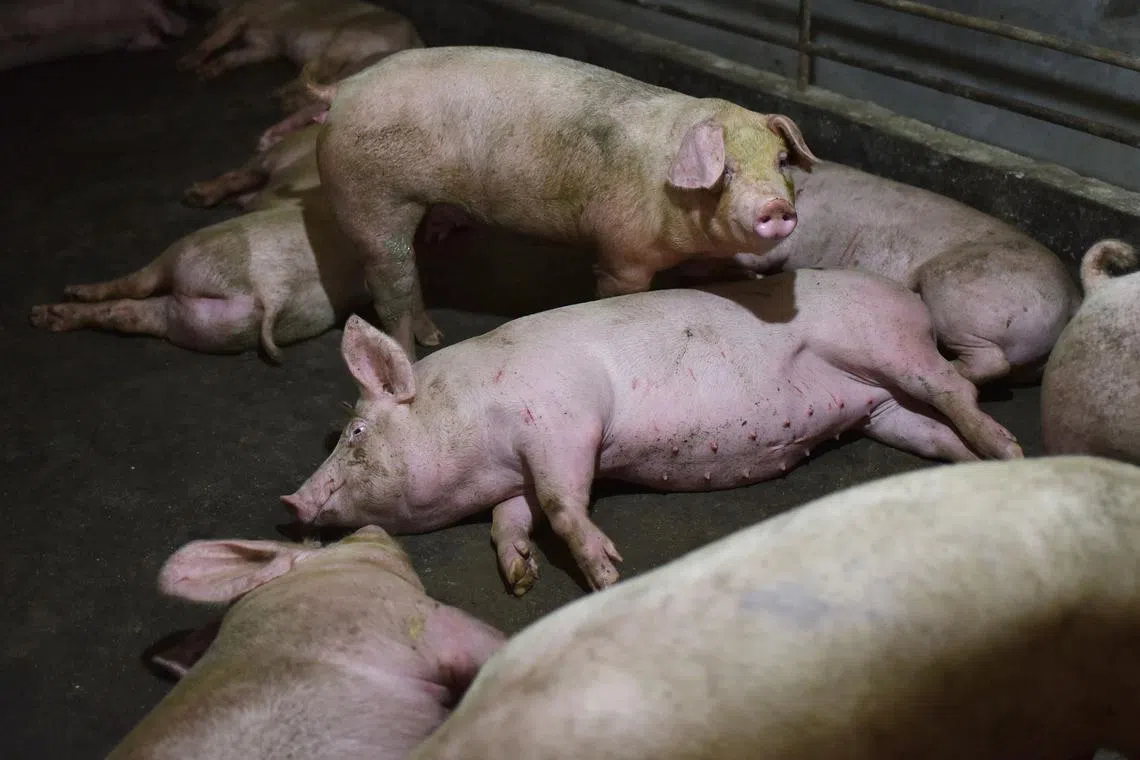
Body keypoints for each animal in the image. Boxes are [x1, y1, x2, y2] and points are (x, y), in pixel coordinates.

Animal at [29, 194, 366, 361]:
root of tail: (275, 288)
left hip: (186, 255)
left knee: (133, 289)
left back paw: (48, 309)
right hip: (207, 325)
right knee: (128, 310)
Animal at [282, 269, 1022, 596]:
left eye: (355, 431)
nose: (291, 502)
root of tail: (911, 297)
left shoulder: (565, 423)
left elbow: (563, 503)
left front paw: (607, 574)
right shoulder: (520, 468)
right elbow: (508, 517)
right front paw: (520, 577)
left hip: (886, 345)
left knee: (956, 387)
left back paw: (1008, 449)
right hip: (881, 410)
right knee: (934, 427)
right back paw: (975, 464)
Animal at [312, 46, 821, 358]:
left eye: (781, 162)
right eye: (726, 170)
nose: (775, 207)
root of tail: (341, 90)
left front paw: (751, 276)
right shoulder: (622, 251)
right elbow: (619, 289)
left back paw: (433, 337)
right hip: (370, 199)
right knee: (390, 285)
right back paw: (413, 353)